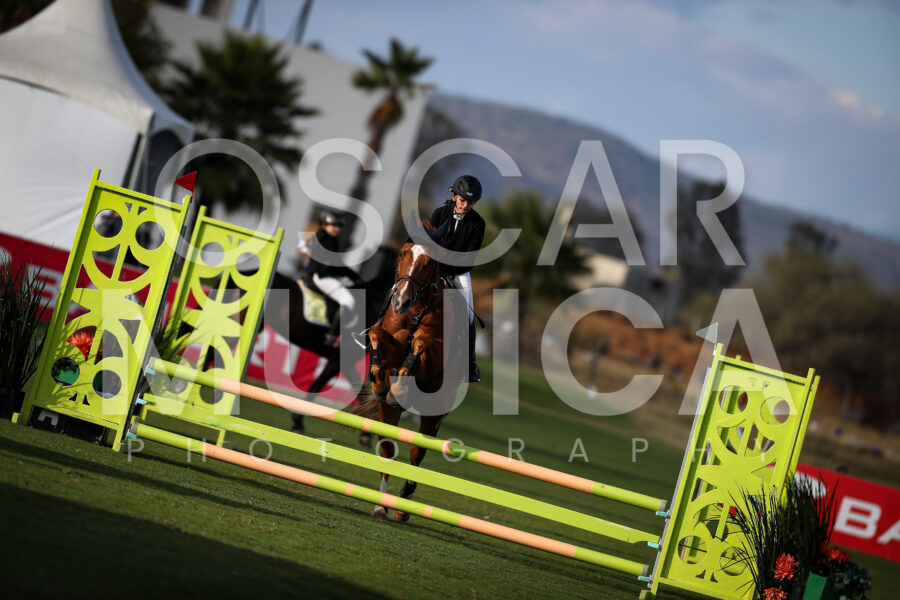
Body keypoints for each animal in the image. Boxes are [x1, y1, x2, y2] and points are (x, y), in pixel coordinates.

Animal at [355, 221, 467, 521]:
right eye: (403, 254)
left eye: (429, 263)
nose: (400, 302)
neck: (416, 309)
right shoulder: (391, 342)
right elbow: (378, 335)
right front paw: (380, 383)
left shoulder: (433, 360)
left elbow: (420, 344)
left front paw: (398, 386)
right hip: (388, 415)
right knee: (388, 448)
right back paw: (381, 505)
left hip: (434, 414)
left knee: (418, 453)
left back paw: (404, 502)